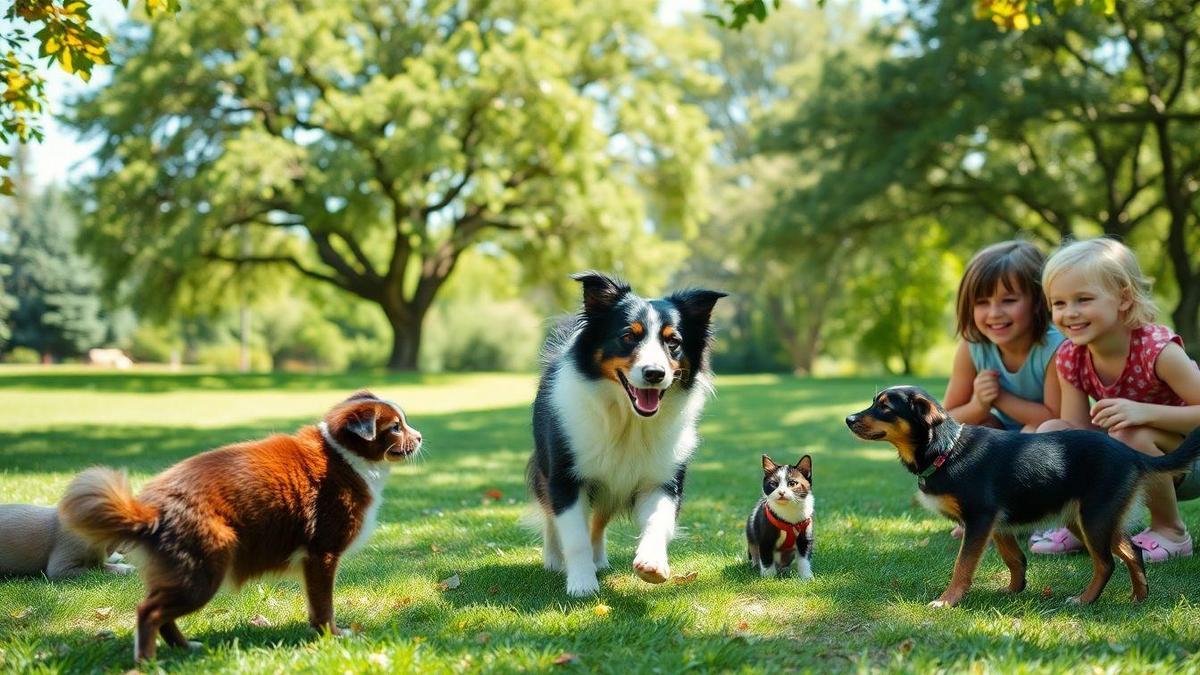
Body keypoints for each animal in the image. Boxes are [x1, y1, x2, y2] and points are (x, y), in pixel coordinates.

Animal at [58, 391, 422, 658]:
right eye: (395, 427)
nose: (419, 438)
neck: (344, 454)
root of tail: (149, 509)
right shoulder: (322, 555)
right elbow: (324, 606)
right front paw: (331, 636)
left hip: (182, 574)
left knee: (160, 614)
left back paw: (185, 647)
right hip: (202, 573)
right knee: (149, 612)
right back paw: (147, 662)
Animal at [844, 384, 1200, 605]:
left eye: (885, 407)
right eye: (875, 402)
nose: (848, 418)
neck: (947, 450)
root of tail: (1130, 453)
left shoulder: (979, 519)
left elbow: (963, 565)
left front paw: (948, 600)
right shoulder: (996, 524)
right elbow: (1015, 559)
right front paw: (1014, 591)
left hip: (1094, 518)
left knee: (1106, 563)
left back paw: (1084, 599)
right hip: (1093, 518)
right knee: (1133, 552)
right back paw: (1139, 598)